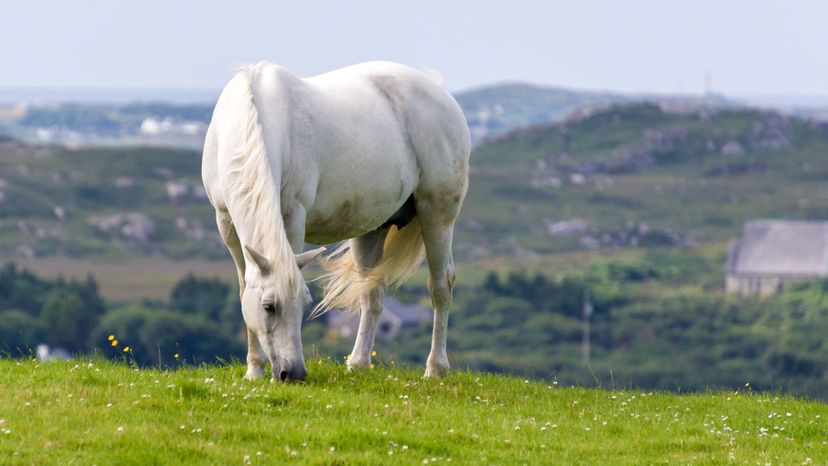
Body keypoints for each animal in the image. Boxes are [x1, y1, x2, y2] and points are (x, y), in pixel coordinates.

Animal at [201, 61, 468, 382]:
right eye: (269, 307)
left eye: (304, 303)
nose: (293, 373)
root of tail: (440, 92)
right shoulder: (226, 222)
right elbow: (244, 288)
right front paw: (253, 370)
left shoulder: (292, 215)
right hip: (371, 230)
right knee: (372, 294)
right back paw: (358, 363)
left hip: (437, 216)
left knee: (440, 286)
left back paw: (435, 368)